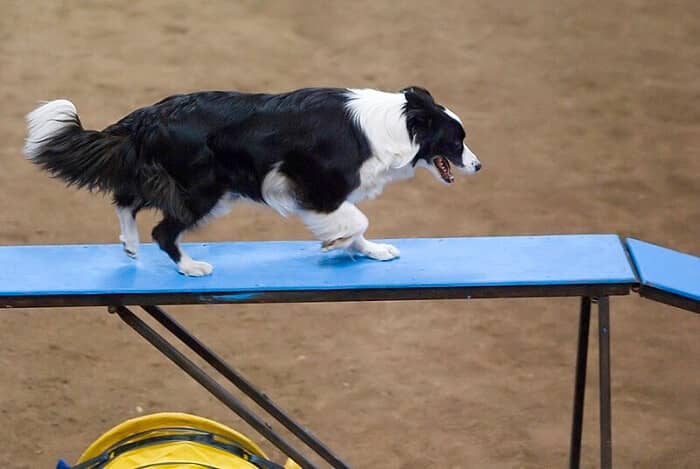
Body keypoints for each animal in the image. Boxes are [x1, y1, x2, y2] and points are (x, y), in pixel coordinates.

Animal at [23, 87, 482, 274]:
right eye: (457, 140)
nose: (479, 166)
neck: (396, 124)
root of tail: (147, 116)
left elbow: (358, 227)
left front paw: (371, 251)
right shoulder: (316, 187)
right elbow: (356, 220)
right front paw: (336, 243)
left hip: (181, 182)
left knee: (125, 198)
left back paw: (130, 245)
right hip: (204, 190)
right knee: (162, 230)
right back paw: (190, 267)